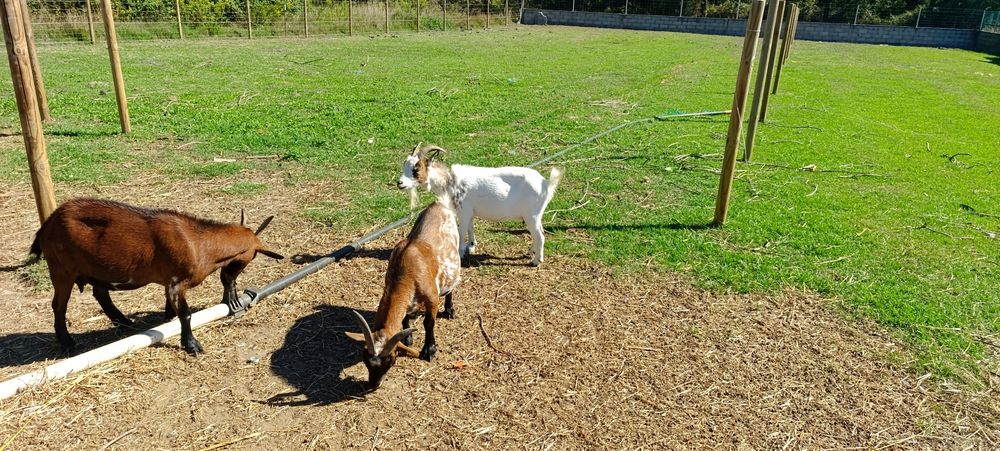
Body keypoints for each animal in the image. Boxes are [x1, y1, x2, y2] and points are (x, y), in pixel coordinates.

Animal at [29, 198, 284, 356]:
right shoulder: (176, 282)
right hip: (61, 269)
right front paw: (192, 345)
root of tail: (48, 224)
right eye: (250, 258)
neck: (198, 243)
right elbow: (186, 314)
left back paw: (125, 322)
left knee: (100, 293)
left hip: (96, 268)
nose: (233, 284)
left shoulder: (169, 283)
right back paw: (68, 343)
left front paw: (168, 320)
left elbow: (171, 308)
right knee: (59, 305)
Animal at [345, 200, 461, 390]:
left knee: (452, 285)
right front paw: (408, 337)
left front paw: (429, 350)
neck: (406, 271)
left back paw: (450, 309)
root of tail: (437, 204)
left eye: (390, 360)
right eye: (365, 358)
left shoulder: (432, 298)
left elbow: (429, 323)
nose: (373, 385)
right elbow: (405, 316)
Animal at [397, 144, 563, 266]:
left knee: (540, 235)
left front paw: (460, 252)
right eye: (404, 165)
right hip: (536, 215)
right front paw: (471, 246)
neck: (450, 181)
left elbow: (461, 231)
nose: (400, 183)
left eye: (416, 168)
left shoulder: (463, 211)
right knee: (539, 232)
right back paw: (531, 251)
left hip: (531, 215)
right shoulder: (469, 211)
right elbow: (471, 227)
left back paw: (536, 261)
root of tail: (546, 184)